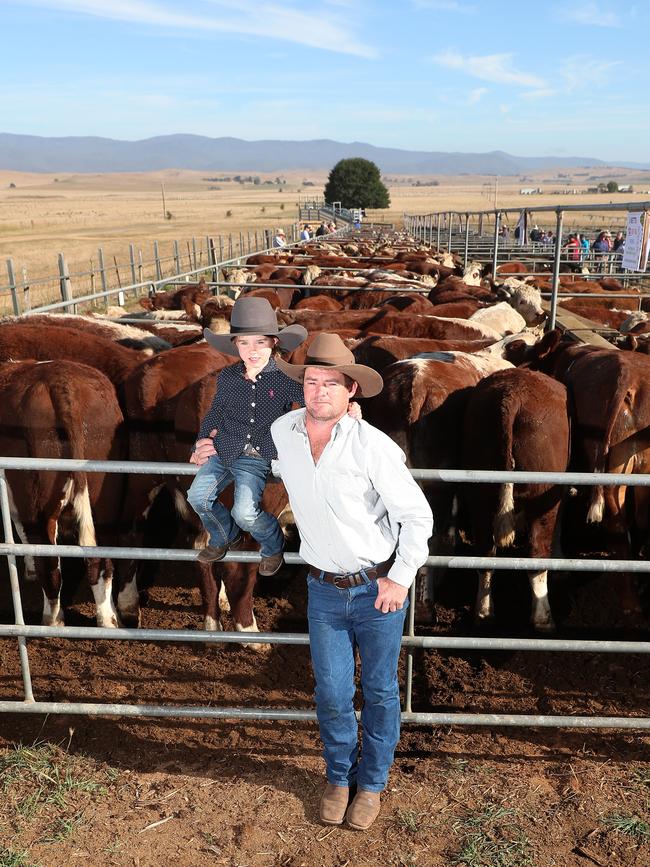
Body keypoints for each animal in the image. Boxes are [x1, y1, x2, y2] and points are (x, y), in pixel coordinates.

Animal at [0, 362, 125, 632]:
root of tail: (60, 381)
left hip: (36, 497)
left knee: (50, 563)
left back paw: (52, 621)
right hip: (106, 498)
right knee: (102, 561)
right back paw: (108, 620)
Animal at [460, 370, 568, 636]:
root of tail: (512, 398)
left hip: (478, 493)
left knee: (485, 552)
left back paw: (484, 613)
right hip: (542, 497)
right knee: (537, 553)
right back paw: (543, 618)